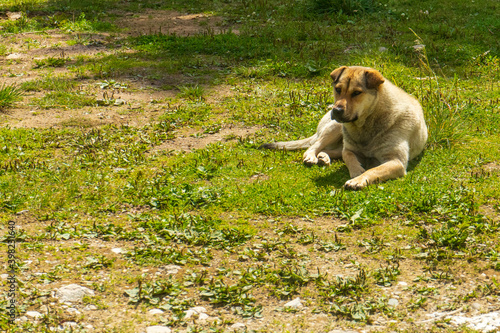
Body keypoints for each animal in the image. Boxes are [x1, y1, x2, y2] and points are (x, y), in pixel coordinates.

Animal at [260, 65, 428, 189]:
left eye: (357, 93)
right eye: (338, 89)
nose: (336, 110)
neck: (367, 123)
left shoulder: (396, 161)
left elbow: (373, 169)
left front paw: (359, 179)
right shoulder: (350, 149)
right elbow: (348, 156)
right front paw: (356, 171)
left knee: (330, 150)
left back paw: (323, 157)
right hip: (334, 128)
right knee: (315, 146)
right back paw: (313, 156)